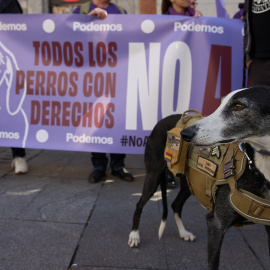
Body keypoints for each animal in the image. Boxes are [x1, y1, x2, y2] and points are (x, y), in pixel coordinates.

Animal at [129, 86, 270, 270]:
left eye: (238, 106)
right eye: (220, 103)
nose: (185, 134)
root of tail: (163, 120)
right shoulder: (215, 225)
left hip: (189, 184)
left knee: (175, 205)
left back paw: (183, 232)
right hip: (153, 175)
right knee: (139, 204)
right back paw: (134, 236)